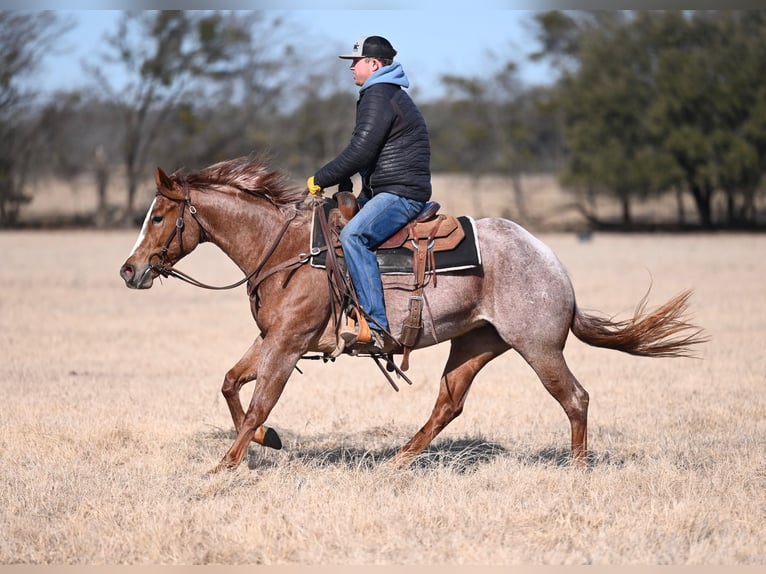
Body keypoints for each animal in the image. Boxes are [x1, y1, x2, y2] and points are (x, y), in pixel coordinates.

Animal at [119, 155, 707, 472]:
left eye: (159, 216)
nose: (129, 270)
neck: (284, 248)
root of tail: (551, 262)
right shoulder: (272, 339)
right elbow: (230, 384)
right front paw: (268, 441)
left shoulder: (287, 344)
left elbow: (259, 401)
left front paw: (222, 467)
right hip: (474, 345)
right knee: (448, 405)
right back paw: (398, 461)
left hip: (538, 348)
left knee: (575, 398)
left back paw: (578, 470)